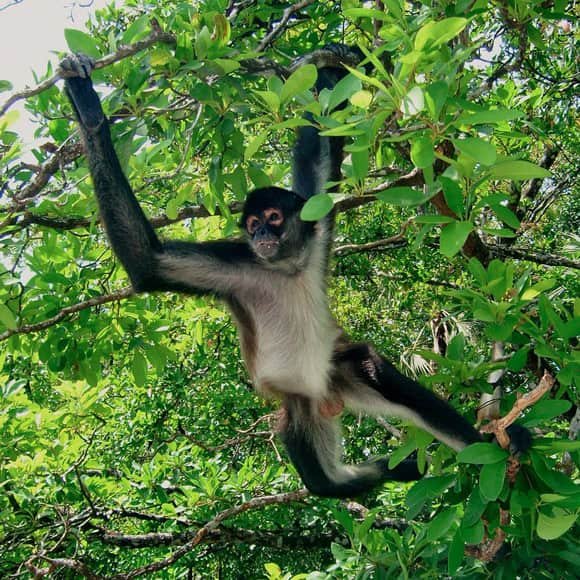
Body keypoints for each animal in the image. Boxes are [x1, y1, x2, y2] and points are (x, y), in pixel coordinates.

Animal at [60, 46, 532, 498]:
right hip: (300, 407)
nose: (261, 235)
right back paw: (397, 469)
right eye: (252, 224)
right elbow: (148, 263)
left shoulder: (314, 226)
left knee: (370, 371)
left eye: (272, 217)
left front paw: (332, 62)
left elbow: (318, 146)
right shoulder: (238, 264)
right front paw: (88, 109)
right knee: (326, 482)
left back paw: (487, 444)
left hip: (339, 373)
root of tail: (327, 397)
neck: (286, 267)